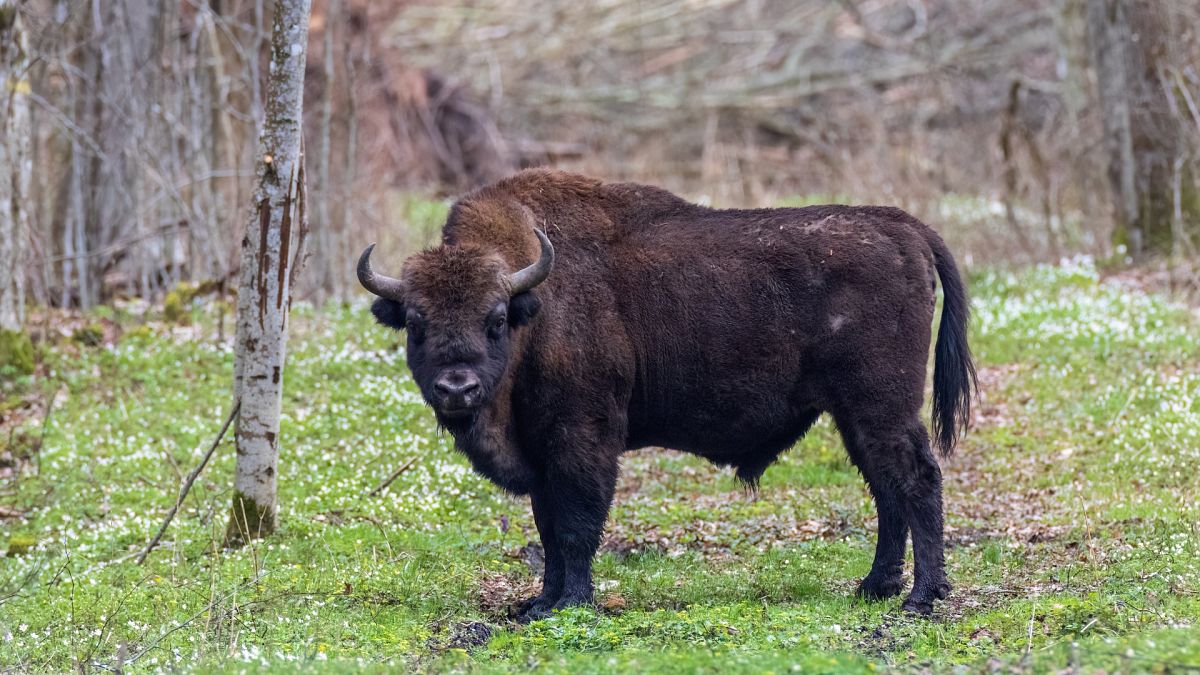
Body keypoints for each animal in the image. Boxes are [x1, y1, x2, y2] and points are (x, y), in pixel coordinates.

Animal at [355, 166, 974, 614]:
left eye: (496, 319)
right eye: (415, 323)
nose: (456, 388)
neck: (538, 301)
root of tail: (901, 227)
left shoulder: (583, 440)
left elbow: (576, 526)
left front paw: (570, 605)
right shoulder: (541, 453)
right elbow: (548, 530)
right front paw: (540, 603)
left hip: (881, 406)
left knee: (916, 480)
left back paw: (921, 598)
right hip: (853, 415)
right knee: (886, 487)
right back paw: (875, 588)